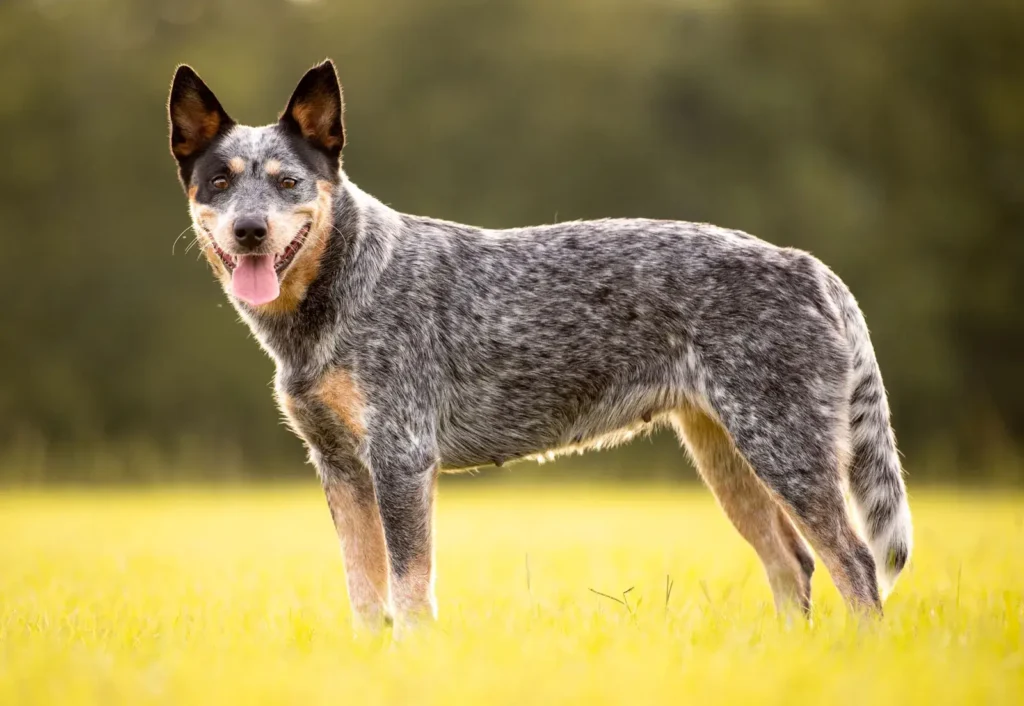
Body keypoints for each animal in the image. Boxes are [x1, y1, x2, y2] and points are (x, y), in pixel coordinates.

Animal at [165, 57, 913, 627]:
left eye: (288, 181)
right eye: (220, 182)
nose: (251, 231)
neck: (345, 287)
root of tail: (808, 266)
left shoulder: (401, 459)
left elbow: (409, 590)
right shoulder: (340, 468)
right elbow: (364, 594)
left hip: (785, 451)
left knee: (854, 563)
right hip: (728, 457)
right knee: (794, 565)